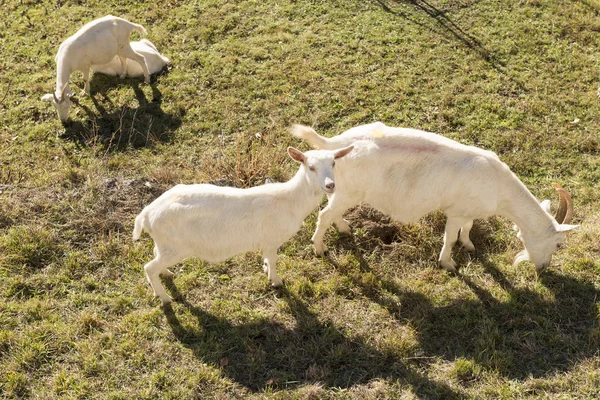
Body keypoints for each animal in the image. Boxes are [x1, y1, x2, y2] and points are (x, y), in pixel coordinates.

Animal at [132, 145, 352, 304]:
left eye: (333, 163)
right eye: (311, 167)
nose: (330, 185)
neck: (290, 199)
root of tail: (146, 214)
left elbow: (267, 260)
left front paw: (266, 270)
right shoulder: (271, 239)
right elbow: (274, 260)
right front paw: (276, 281)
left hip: (165, 244)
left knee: (155, 256)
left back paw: (167, 274)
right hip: (176, 247)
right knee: (149, 267)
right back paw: (165, 298)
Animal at [292, 122, 580, 272]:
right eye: (559, 244)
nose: (543, 268)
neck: (499, 188)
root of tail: (334, 146)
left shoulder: (467, 209)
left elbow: (469, 227)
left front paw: (469, 245)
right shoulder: (455, 211)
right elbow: (450, 236)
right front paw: (448, 263)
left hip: (344, 190)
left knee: (332, 211)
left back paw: (344, 228)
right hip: (350, 191)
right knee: (324, 214)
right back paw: (319, 248)